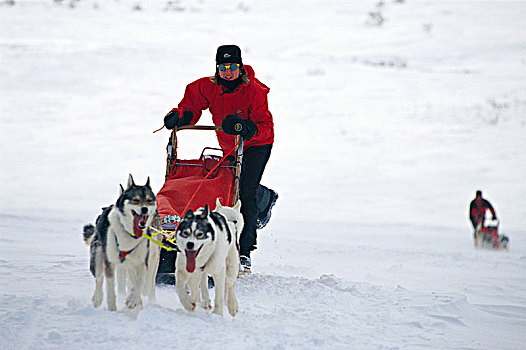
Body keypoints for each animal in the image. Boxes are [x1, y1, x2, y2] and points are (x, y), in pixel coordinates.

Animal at [82, 175, 161, 312]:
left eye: (149, 200)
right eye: (135, 200)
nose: (144, 209)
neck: (129, 234)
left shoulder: (143, 260)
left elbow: (141, 280)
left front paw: (133, 300)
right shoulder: (110, 262)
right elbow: (110, 286)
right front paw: (112, 307)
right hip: (98, 257)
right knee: (99, 278)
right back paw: (97, 298)